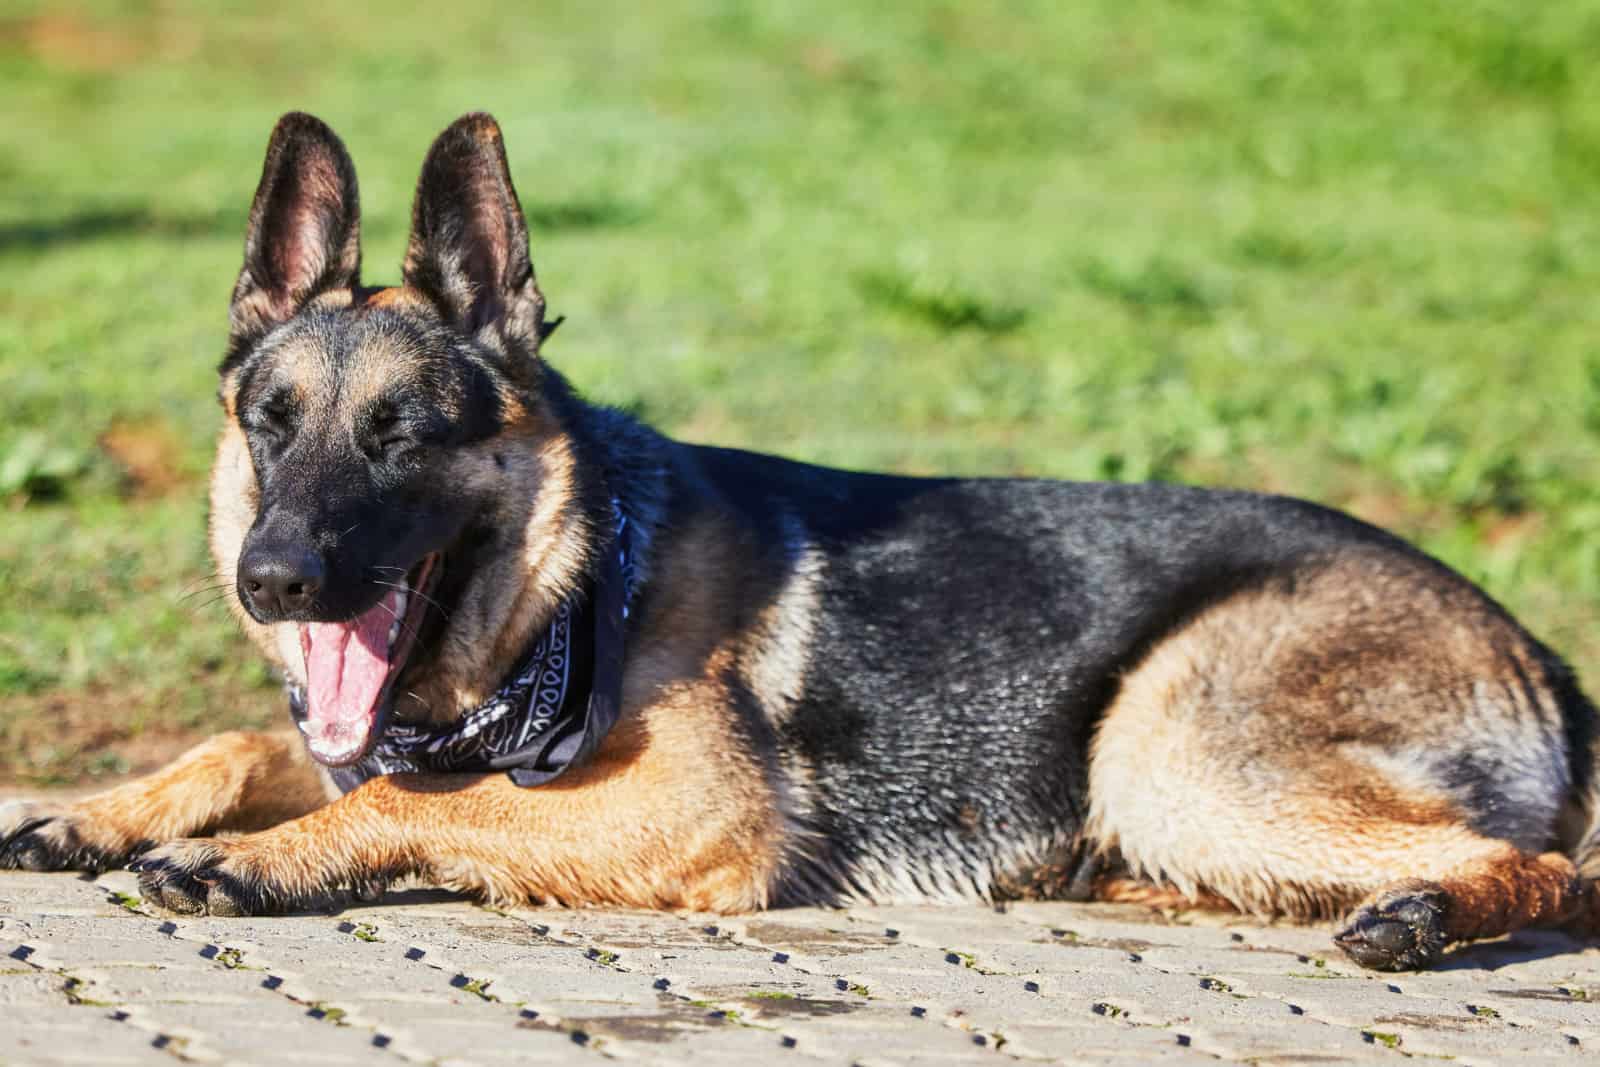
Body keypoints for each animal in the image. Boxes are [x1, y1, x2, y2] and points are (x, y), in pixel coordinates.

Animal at [3, 112, 1600, 972]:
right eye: (270, 422)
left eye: (401, 434)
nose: (271, 574)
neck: (579, 582)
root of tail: (1532, 646)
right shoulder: (364, 727)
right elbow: (251, 745)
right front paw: (102, 809)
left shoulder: (687, 811)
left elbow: (415, 799)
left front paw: (259, 858)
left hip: (1169, 741)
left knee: (1543, 865)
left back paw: (1416, 911)